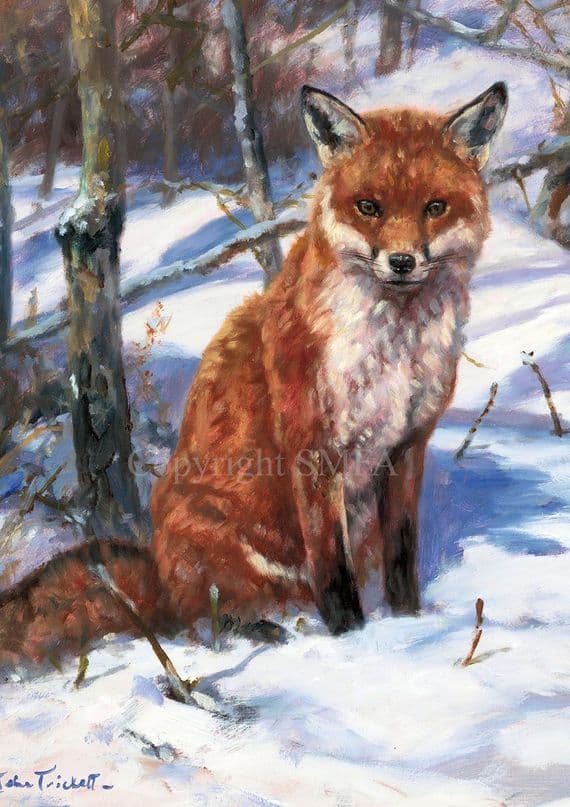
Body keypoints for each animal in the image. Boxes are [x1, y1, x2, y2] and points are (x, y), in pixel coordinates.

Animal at [0, 82, 507, 666]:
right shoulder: (313, 451)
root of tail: (156, 568)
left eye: (435, 208)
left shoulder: (406, 446)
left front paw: (408, 624)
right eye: (369, 207)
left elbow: (402, 560)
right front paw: (353, 642)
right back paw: (253, 629)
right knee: (193, 620)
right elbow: (333, 574)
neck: (392, 350)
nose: (401, 262)